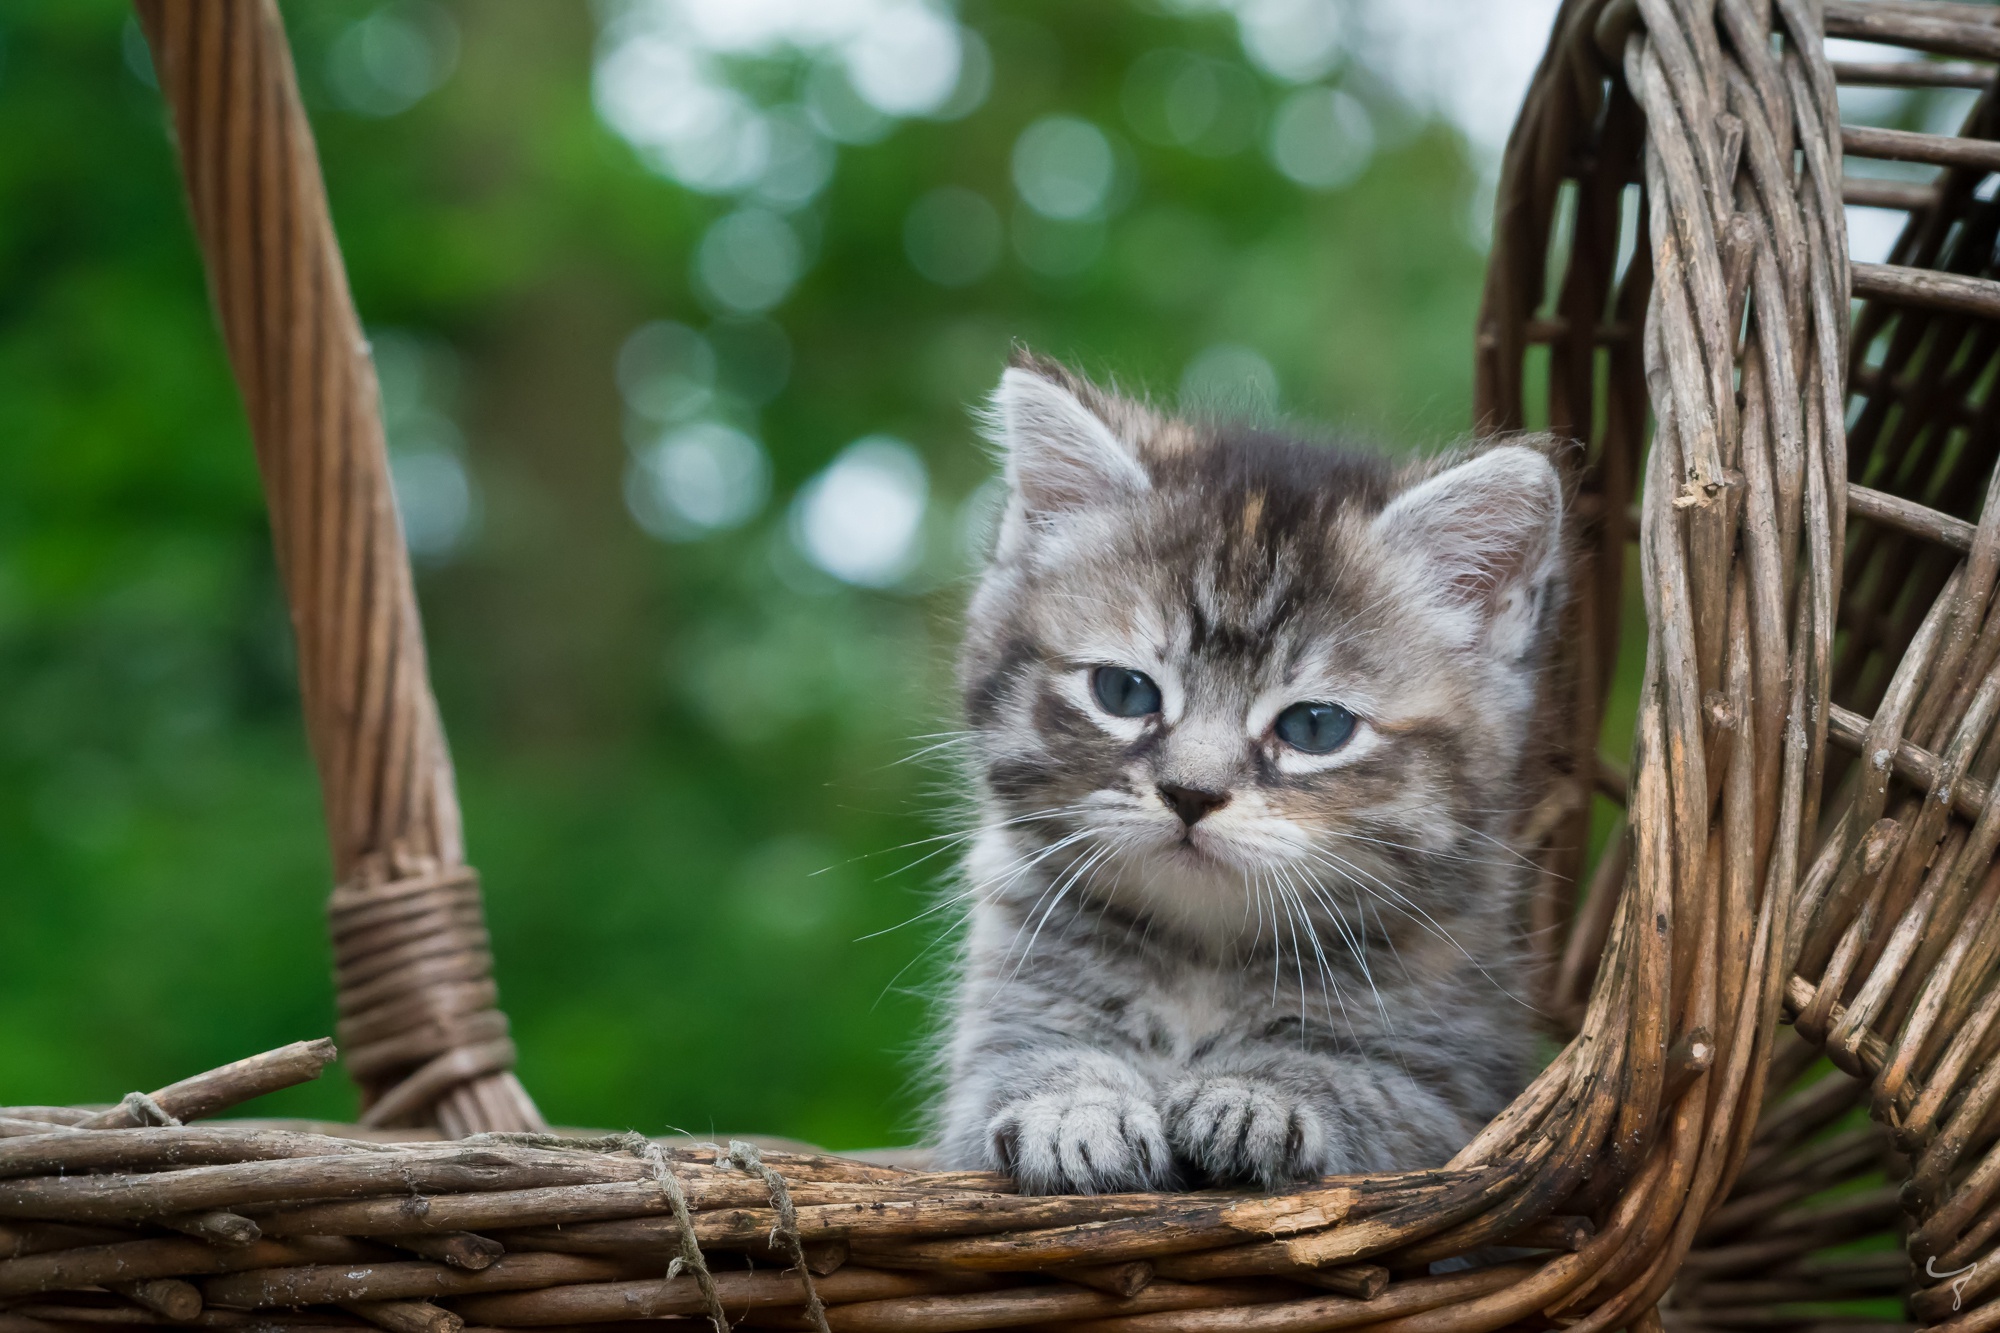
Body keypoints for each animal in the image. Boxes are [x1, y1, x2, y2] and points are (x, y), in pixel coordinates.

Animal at [932, 352, 1560, 1192]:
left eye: (1315, 726)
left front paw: (1256, 1093)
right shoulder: (995, 1030)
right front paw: (1075, 1103)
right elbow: (1012, 1070)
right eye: (1124, 692)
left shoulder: (1461, 1093)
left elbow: (1372, 1087)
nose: (1191, 793)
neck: (1206, 955)